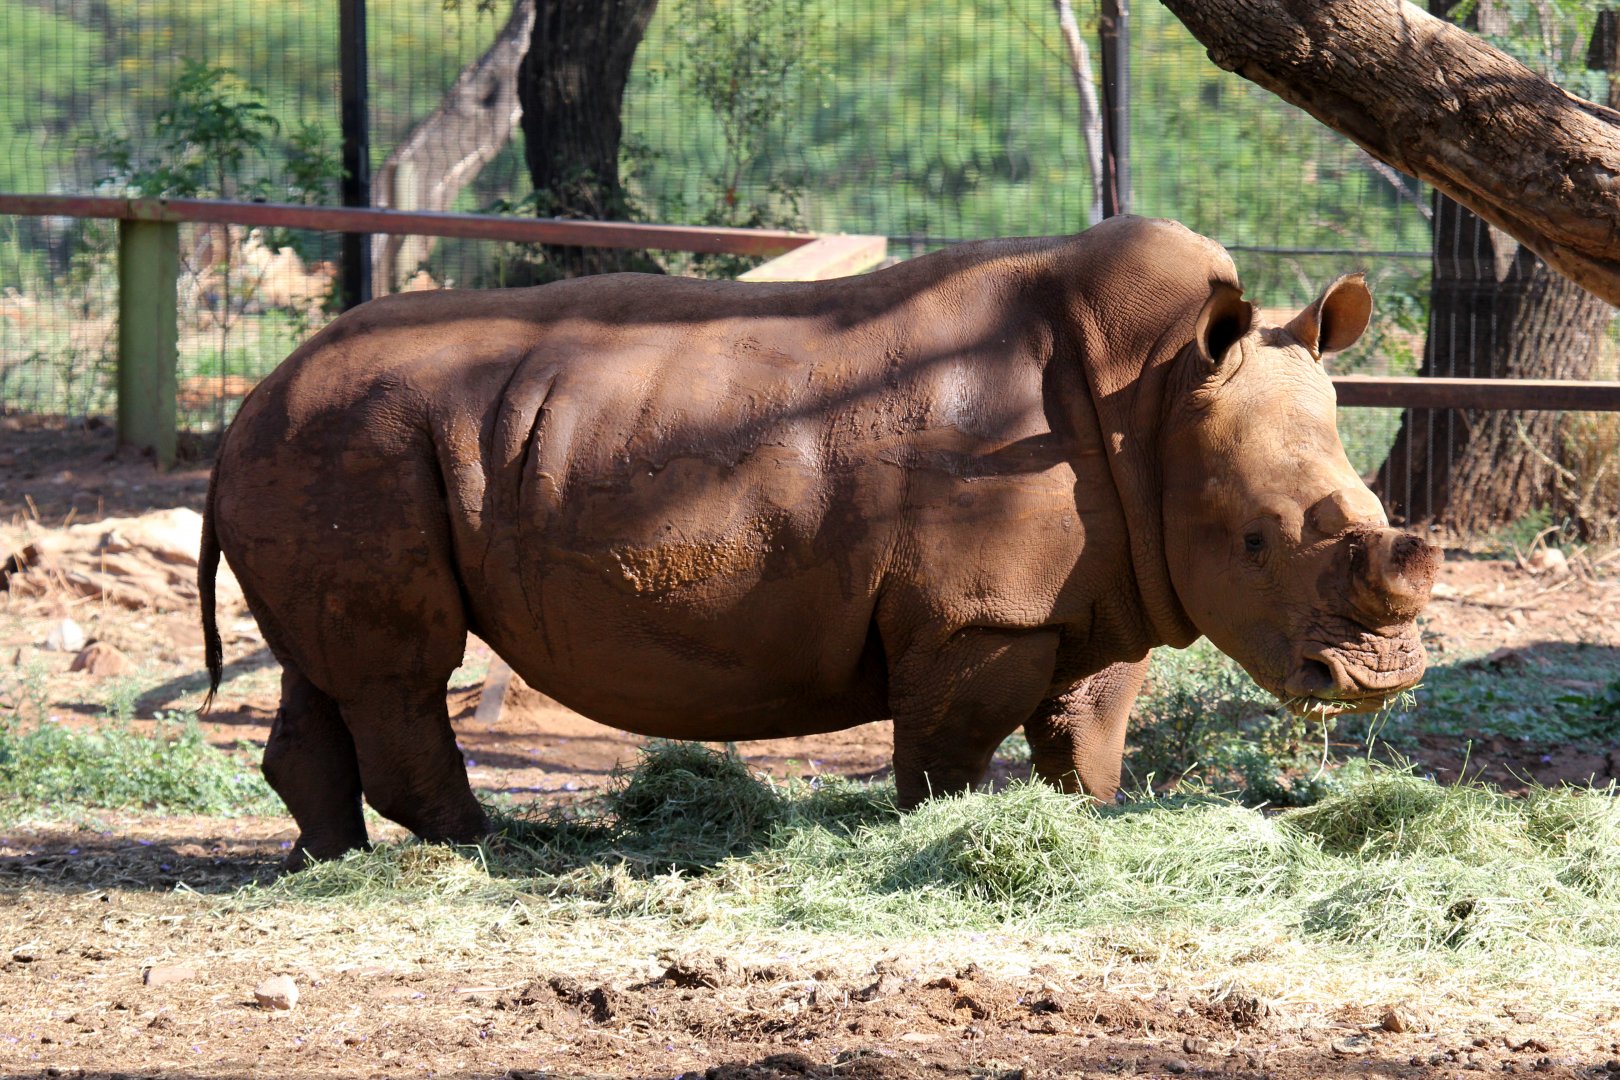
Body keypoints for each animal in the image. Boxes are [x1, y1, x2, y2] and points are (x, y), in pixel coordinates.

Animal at [199, 215, 1437, 865]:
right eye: (1257, 543)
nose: (1381, 677)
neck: (1159, 396)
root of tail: (250, 401)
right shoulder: (978, 613)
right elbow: (950, 745)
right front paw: (945, 835)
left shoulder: (1108, 589)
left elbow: (1088, 731)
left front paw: (1087, 823)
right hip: (358, 441)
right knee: (400, 671)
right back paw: (489, 850)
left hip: (331, 452)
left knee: (333, 668)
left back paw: (329, 862)